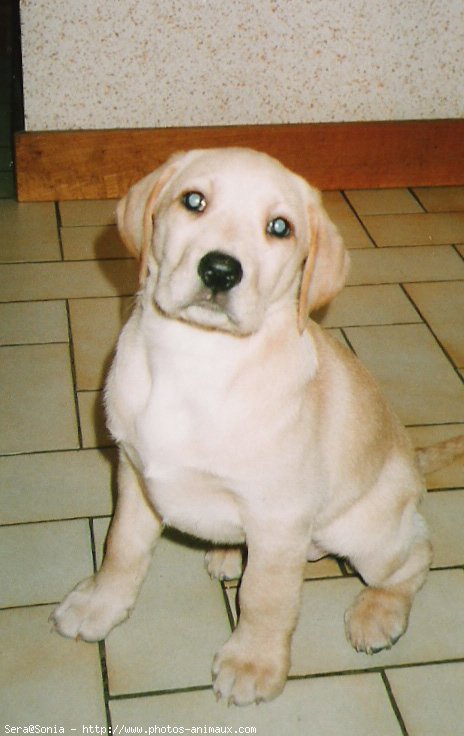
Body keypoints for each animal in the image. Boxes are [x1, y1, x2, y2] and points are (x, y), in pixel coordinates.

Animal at [51, 147, 464, 704]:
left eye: (279, 227)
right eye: (193, 201)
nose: (220, 270)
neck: (199, 359)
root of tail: (414, 464)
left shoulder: (279, 517)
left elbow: (265, 598)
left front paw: (252, 663)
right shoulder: (134, 475)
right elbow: (121, 548)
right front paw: (99, 604)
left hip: (366, 532)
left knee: (415, 555)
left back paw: (378, 613)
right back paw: (228, 552)